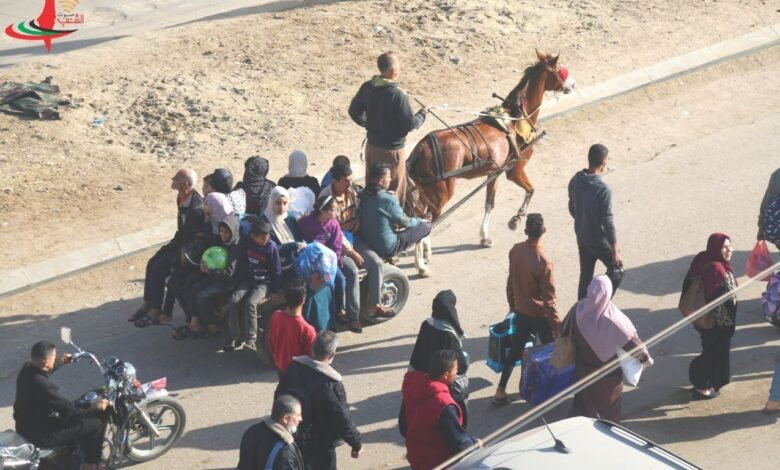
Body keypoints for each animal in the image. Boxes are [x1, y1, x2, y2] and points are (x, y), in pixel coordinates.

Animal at [402, 50, 572, 276]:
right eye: (560, 69)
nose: (571, 84)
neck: (515, 118)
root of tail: (421, 148)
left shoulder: (494, 173)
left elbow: (489, 204)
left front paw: (484, 237)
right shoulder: (515, 169)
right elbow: (531, 190)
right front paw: (516, 218)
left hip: (425, 190)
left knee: (420, 217)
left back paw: (425, 253)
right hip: (441, 192)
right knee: (426, 220)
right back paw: (421, 265)